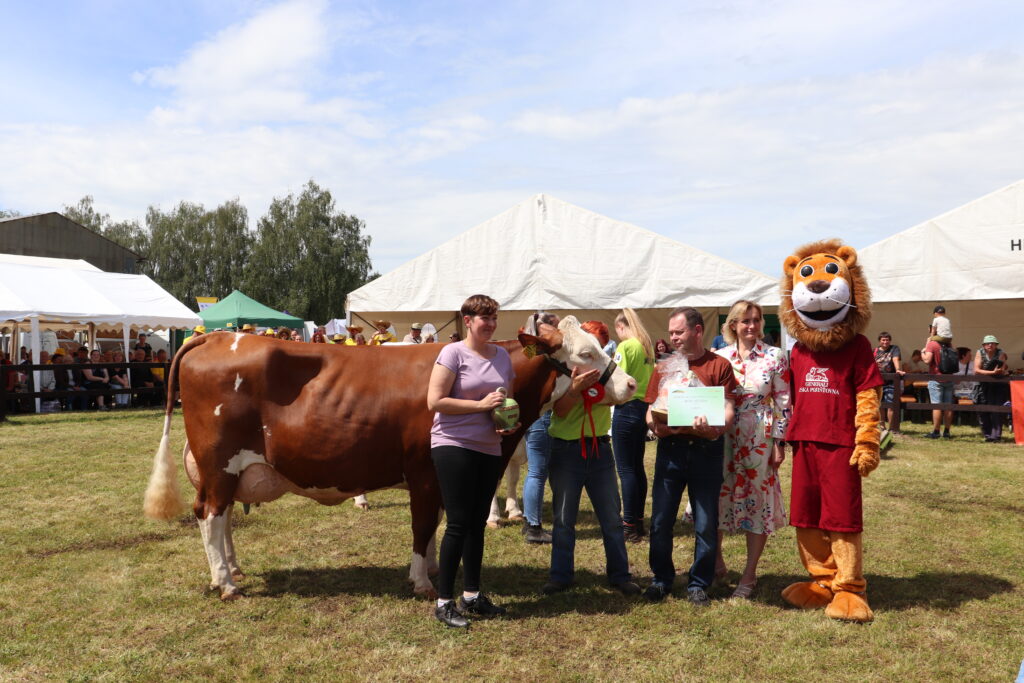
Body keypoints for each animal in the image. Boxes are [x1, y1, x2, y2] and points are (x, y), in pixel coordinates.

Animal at [142, 317, 630, 602]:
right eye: (586, 353)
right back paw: (225, 584)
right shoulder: (425, 471)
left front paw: (432, 566)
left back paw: (232, 571)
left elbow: (436, 524)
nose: (628, 384)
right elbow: (422, 525)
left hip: (225, 470)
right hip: (218, 463)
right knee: (209, 515)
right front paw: (422, 580)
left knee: (220, 518)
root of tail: (216, 336)